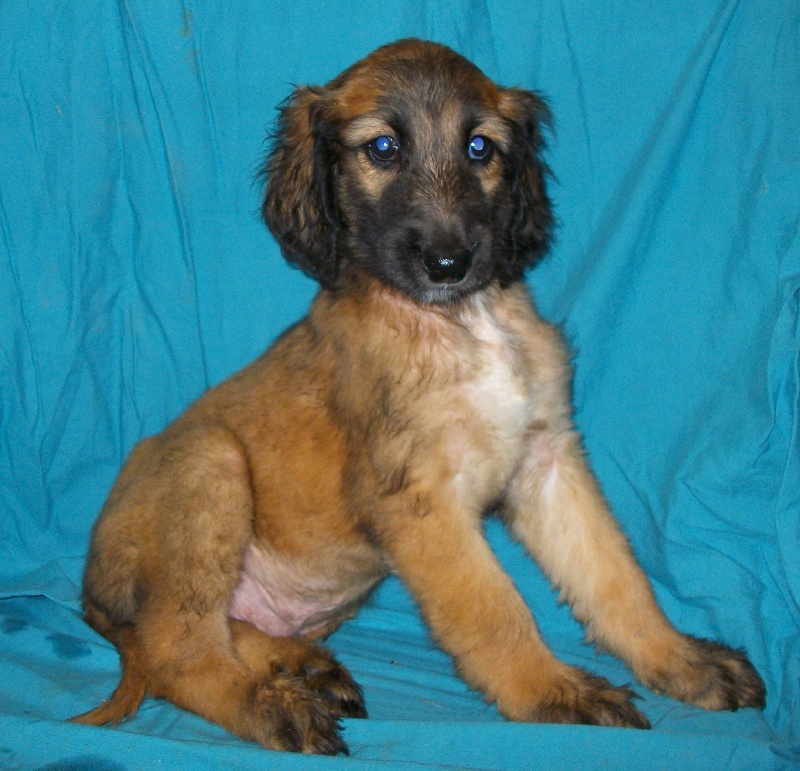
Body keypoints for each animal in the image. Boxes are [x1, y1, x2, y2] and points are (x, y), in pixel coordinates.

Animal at [72, 39, 765, 755]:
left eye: (480, 147)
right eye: (382, 148)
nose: (449, 262)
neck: (461, 322)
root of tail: (90, 595)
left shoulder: (546, 457)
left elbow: (614, 576)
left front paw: (679, 660)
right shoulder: (418, 498)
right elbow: (493, 609)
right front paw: (554, 692)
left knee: (212, 635)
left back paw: (299, 667)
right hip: (206, 465)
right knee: (177, 653)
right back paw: (274, 707)